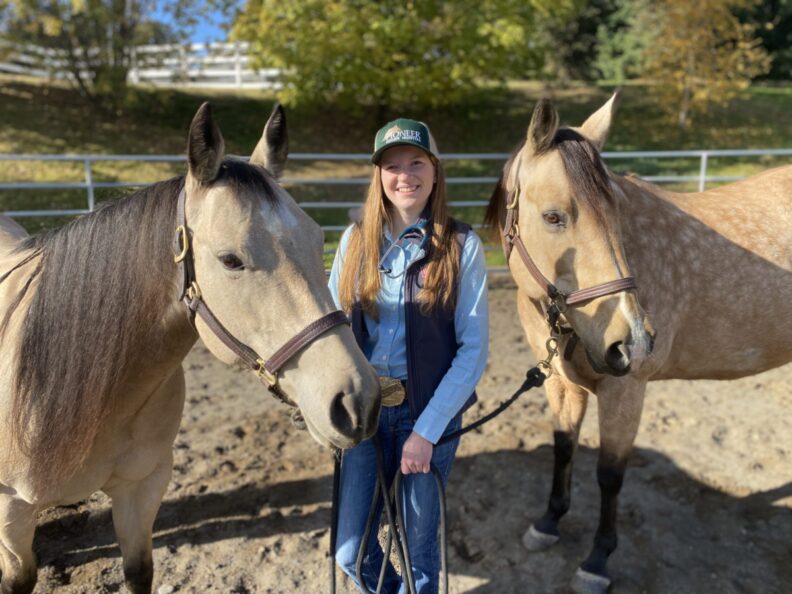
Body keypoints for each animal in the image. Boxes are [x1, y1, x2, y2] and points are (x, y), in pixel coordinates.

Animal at [0, 103, 381, 594]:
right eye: (231, 260)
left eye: (319, 242)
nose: (357, 402)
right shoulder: (12, 517)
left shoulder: (142, 489)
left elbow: (139, 571)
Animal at [485, 94, 792, 593]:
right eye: (553, 217)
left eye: (617, 215)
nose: (632, 343)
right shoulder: (560, 384)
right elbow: (564, 447)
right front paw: (548, 523)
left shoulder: (625, 390)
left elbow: (610, 474)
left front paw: (597, 560)